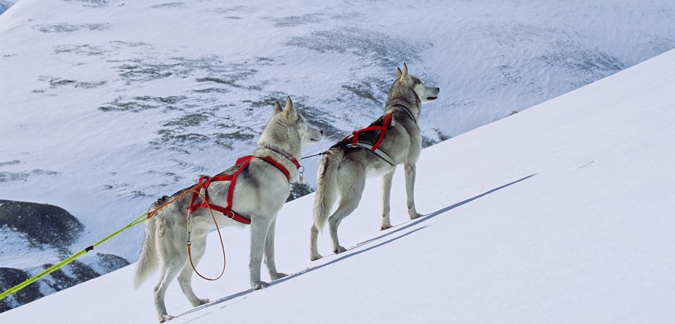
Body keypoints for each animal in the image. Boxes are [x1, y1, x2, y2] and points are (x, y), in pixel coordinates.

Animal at [135, 97, 322, 322]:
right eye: (305, 120)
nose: (322, 131)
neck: (275, 159)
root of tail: (161, 204)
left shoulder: (271, 221)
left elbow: (269, 254)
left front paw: (275, 277)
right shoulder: (260, 222)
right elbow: (256, 257)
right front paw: (257, 285)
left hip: (196, 250)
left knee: (183, 280)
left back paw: (198, 303)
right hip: (176, 256)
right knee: (157, 288)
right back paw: (164, 316)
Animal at [310, 64, 440, 260]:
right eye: (422, 83)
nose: (438, 88)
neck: (402, 110)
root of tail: (334, 150)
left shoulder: (388, 174)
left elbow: (385, 206)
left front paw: (386, 227)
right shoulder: (410, 166)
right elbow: (410, 198)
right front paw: (415, 216)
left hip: (327, 197)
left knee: (315, 226)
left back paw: (315, 257)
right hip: (353, 197)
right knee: (332, 220)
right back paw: (338, 249)